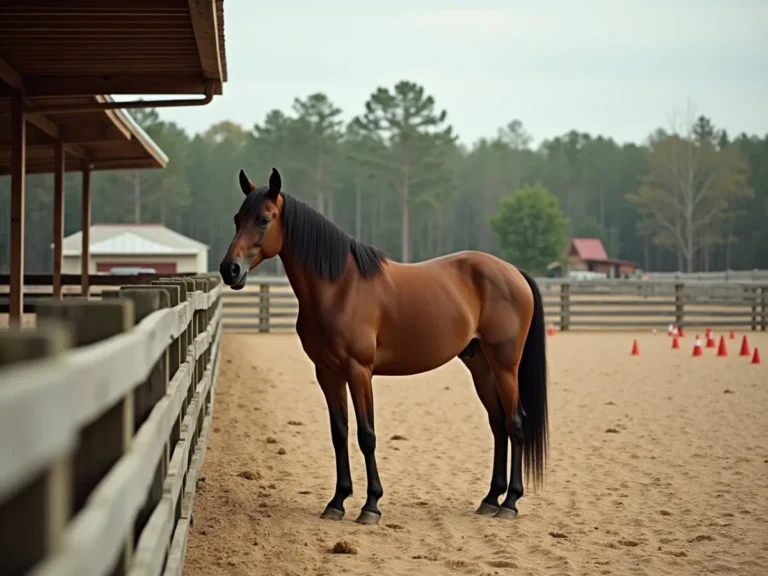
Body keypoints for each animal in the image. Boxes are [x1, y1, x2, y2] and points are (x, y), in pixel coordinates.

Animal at [219, 167, 548, 525]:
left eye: (264, 219)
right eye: (236, 218)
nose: (229, 269)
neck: (340, 287)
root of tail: (513, 272)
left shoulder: (359, 371)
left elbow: (367, 435)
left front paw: (371, 505)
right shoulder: (328, 373)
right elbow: (339, 433)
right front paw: (337, 501)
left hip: (505, 365)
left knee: (515, 422)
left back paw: (510, 502)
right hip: (480, 365)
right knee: (498, 424)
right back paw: (490, 499)